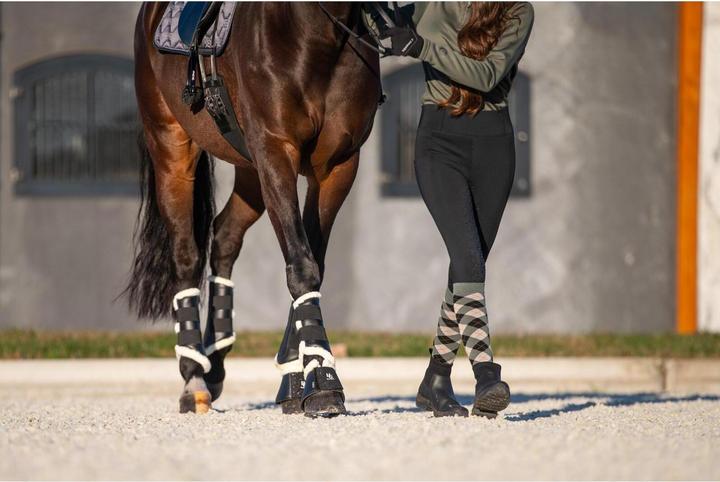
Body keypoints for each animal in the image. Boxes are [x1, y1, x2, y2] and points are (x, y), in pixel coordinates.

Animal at [127, 2, 380, 416]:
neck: (314, 36)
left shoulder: (337, 167)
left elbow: (312, 262)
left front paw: (297, 376)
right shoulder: (275, 151)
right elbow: (302, 266)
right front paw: (323, 381)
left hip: (249, 170)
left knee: (225, 234)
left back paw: (214, 365)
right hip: (171, 148)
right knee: (186, 255)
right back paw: (193, 378)